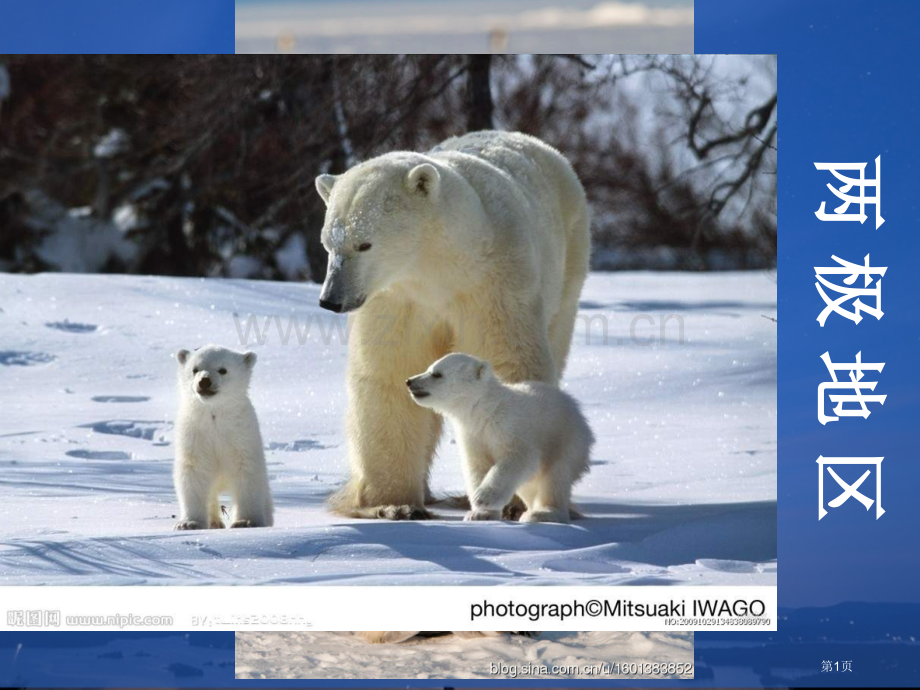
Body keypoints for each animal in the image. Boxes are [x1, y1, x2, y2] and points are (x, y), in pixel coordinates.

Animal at [316, 130, 588, 516]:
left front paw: (511, 502)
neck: (440, 267)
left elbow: (508, 358)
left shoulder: (492, 284)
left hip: (568, 265)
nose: (331, 300)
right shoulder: (399, 299)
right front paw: (394, 504)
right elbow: (389, 372)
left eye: (363, 244)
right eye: (328, 243)